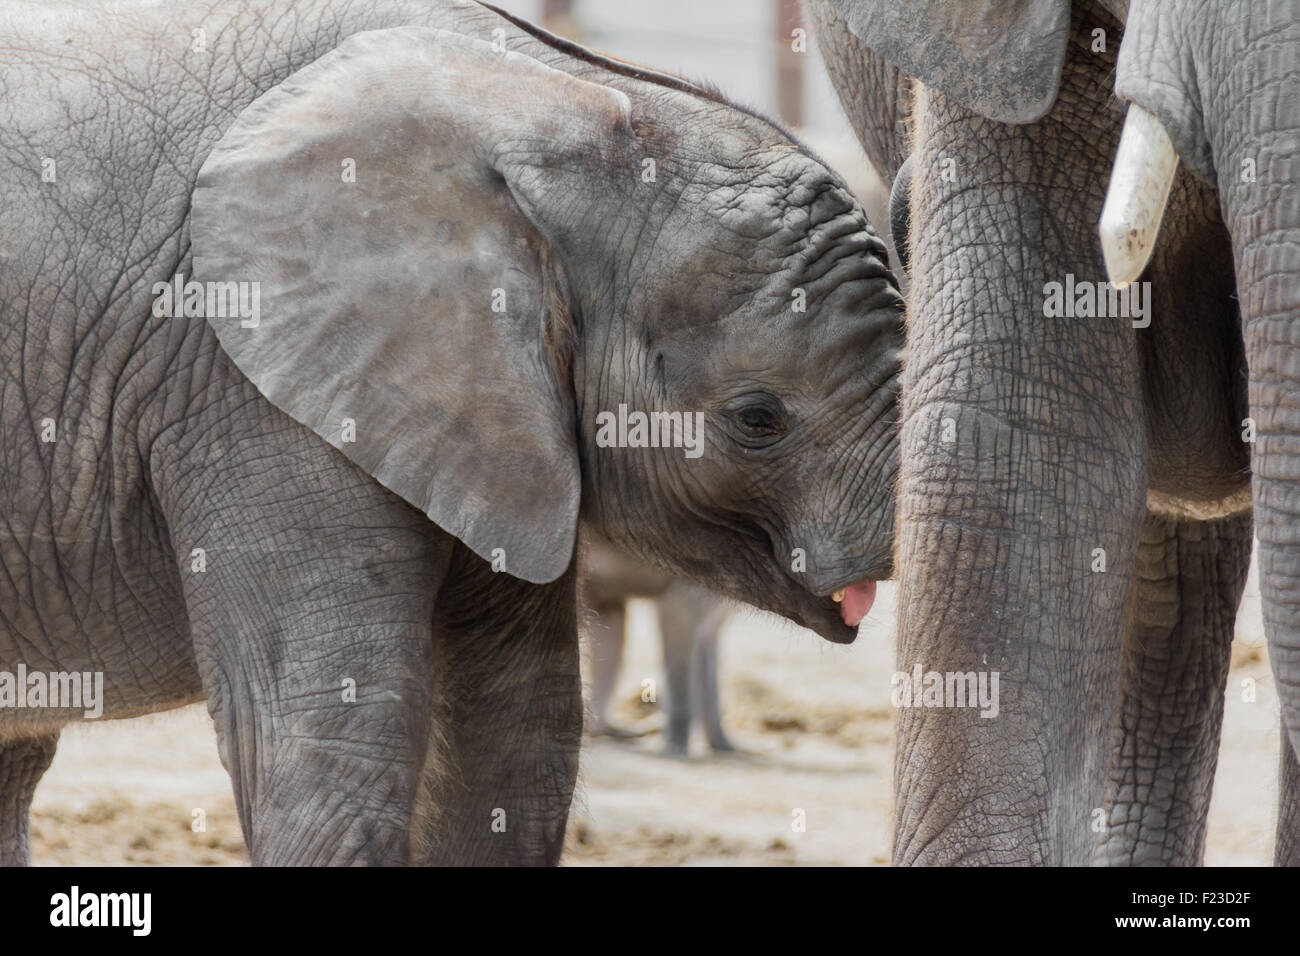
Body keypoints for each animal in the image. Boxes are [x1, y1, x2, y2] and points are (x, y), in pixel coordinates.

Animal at [585, 538, 738, 754]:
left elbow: (706, 645)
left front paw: (720, 741)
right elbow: (675, 616)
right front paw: (677, 743)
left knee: (611, 615)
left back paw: (600, 727)